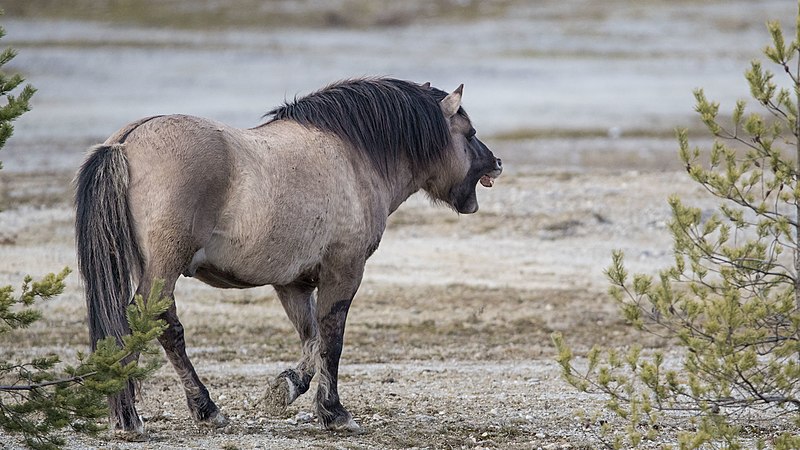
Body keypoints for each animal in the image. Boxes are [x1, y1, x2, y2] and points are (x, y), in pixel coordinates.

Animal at [73, 76, 500, 436]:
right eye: (470, 133)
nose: (496, 163)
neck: (352, 156)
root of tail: (126, 144)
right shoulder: (344, 273)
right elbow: (331, 339)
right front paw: (334, 412)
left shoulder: (292, 284)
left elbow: (311, 340)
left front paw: (287, 388)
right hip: (165, 267)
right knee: (151, 322)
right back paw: (154, 415)